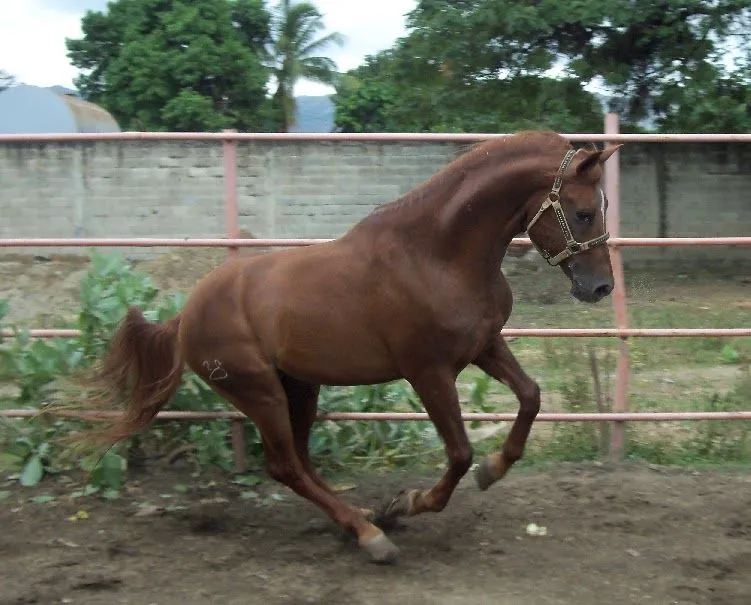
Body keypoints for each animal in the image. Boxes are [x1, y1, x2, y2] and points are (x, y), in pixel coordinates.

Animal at [88, 130, 620, 564]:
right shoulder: (428, 371)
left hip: (300, 386)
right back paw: (371, 534)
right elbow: (459, 452)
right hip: (259, 391)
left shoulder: (484, 345)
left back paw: (363, 518)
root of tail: (186, 315)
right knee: (285, 465)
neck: (436, 255)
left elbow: (530, 396)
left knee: (301, 461)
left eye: (602, 208)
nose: (600, 288)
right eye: (583, 212)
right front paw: (410, 502)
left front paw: (491, 471)